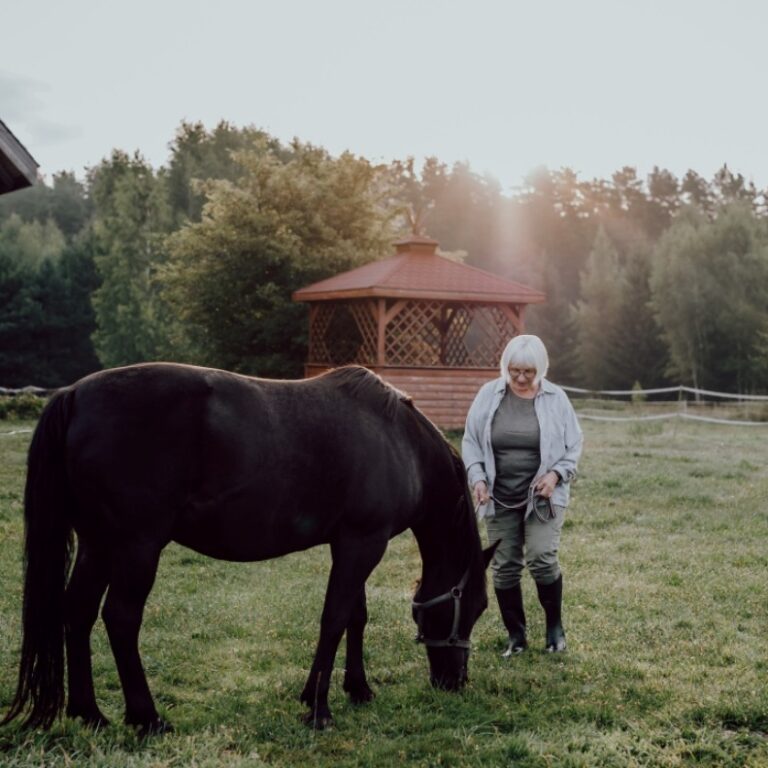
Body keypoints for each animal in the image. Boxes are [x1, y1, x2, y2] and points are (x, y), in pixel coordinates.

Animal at [3, 364, 496, 736]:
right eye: (474, 607)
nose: (456, 681)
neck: (399, 442)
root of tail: (74, 394)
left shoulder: (351, 544)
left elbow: (354, 617)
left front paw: (356, 689)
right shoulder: (362, 544)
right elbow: (335, 618)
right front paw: (318, 708)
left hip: (98, 545)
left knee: (78, 613)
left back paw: (90, 713)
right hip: (136, 548)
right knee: (120, 619)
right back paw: (147, 717)